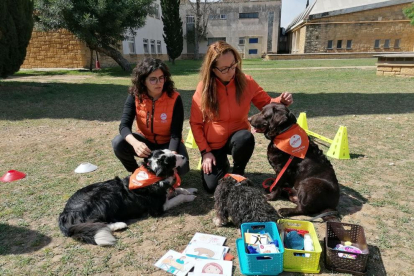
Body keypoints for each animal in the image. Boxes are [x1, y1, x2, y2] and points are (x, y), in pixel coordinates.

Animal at [57, 150, 197, 247]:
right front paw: (190, 196)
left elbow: (179, 190)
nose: (183, 156)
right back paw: (119, 224)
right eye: (172, 159)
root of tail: (65, 213)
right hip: (104, 197)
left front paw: (190, 190)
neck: (153, 174)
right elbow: (179, 197)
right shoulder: (158, 208)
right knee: (95, 222)